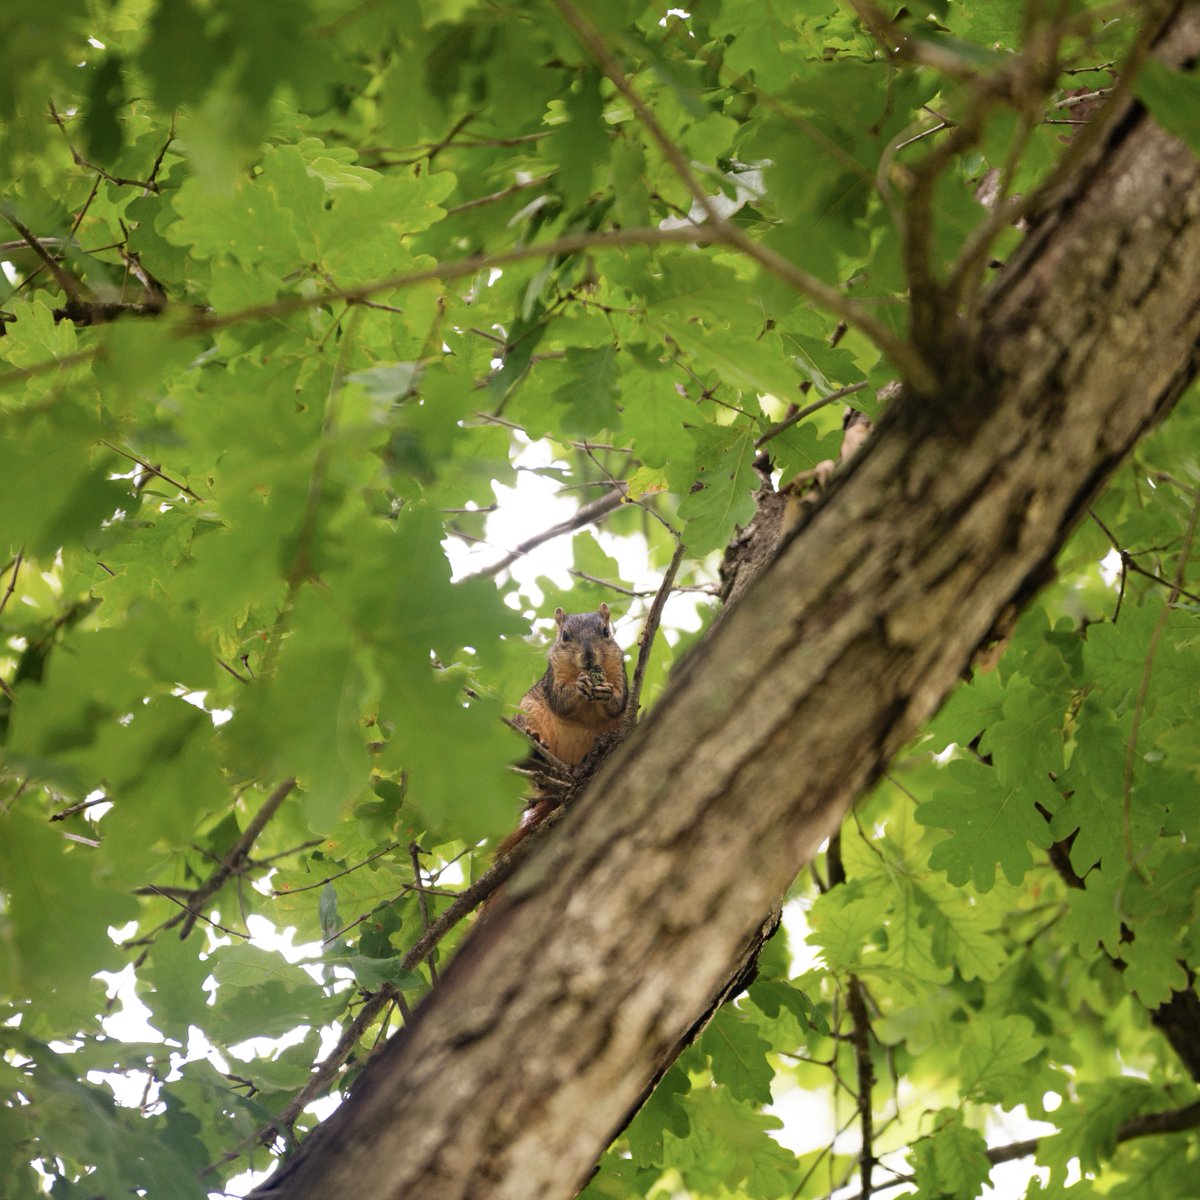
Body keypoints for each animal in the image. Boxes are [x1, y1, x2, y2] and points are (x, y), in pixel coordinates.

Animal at [497, 604, 628, 855]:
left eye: (605, 631)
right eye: (565, 636)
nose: (588, 657)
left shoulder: (620, 672)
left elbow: (619, 703)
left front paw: (607, 693)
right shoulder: (553, 676)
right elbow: (561, 700)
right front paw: (579, 686)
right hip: (529, 711)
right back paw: (535, 745)